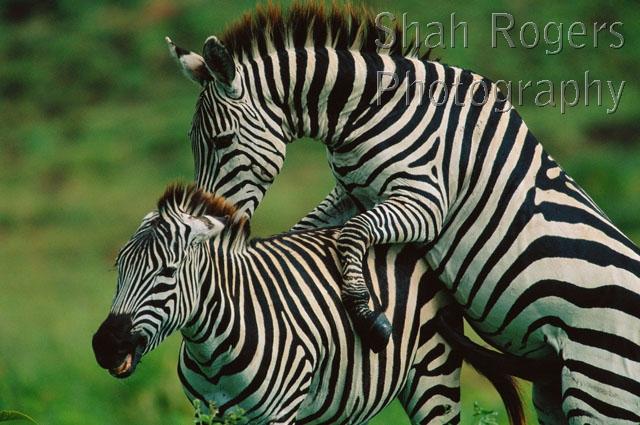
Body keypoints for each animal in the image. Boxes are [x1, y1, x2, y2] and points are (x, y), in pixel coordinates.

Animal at [94, 182, 524, 424]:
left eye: (167, 272)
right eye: (118, 267)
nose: (105, 346)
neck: (213, 346)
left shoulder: (278, 415)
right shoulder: (207, 414)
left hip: (434, 373)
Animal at [165, 1, 640, 422]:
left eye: (222, 141)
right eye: (190, 142)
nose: (208, 221)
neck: (371, 110)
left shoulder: (425, 201)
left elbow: (352, 234)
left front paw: (365, 312)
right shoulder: (351, 193)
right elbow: (309, 234)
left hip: (601, 390)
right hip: (555, 390)